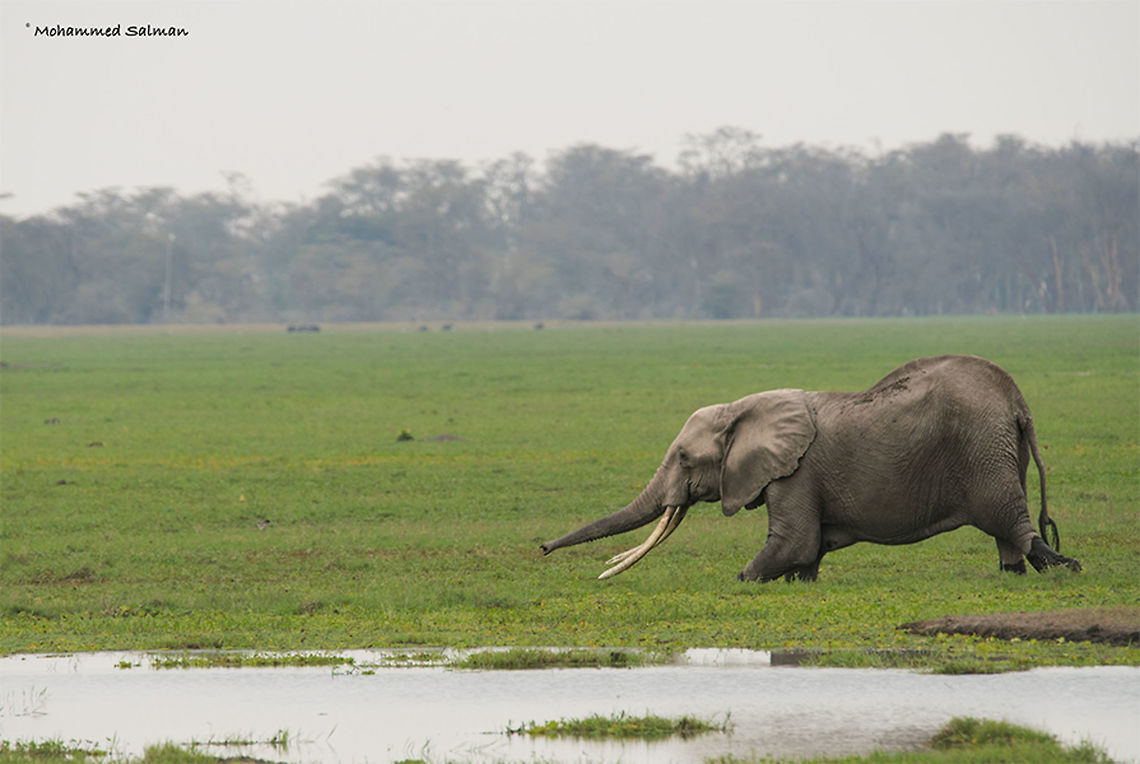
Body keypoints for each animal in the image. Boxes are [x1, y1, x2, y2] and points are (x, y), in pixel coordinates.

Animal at [540, 355, 1082, 581]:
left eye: (685, 459)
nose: (542, 548)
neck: (745, 407)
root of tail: (1018, 402)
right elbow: (808, 550)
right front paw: (802, 582)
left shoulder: (794, 474)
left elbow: (794, 542)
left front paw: (743, 580)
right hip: (997, 450)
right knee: (1008, 530)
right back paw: (1016, 572)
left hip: (983, 451)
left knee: (1009, 519)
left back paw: (1062, 566)